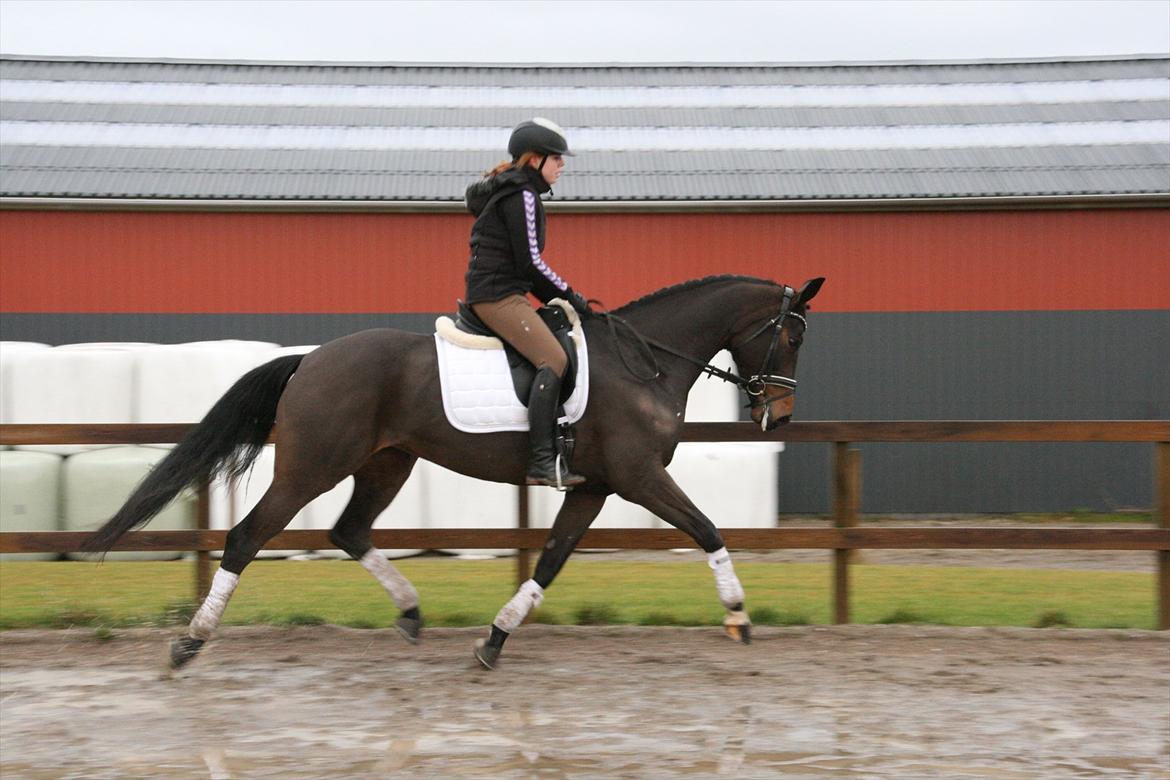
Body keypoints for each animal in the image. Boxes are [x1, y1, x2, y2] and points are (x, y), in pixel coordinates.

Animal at [82, 275, 823, 673]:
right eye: (792, 336)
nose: (780, 416)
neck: (645, 362)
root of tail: (311, 359)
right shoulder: (638, 478)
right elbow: (708, 529)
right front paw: (738, 615)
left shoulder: (595, 487)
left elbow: (550, 561)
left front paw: (495, 639)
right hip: (313, 468)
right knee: (246, 537)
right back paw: (190, 643)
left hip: (386, 463)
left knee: (350, 532)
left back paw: (411, 612)